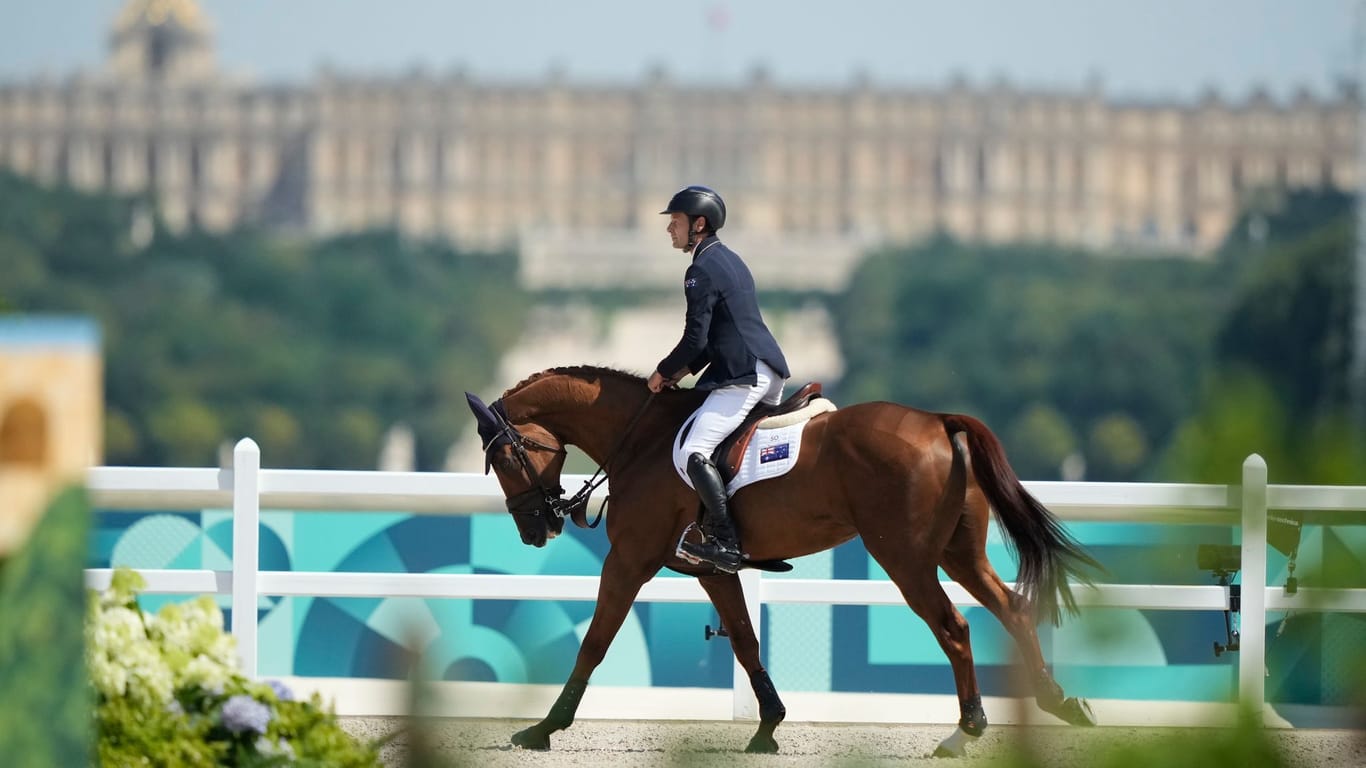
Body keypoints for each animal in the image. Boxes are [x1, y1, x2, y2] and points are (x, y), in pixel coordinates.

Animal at [464, 363, 1103, 754]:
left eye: (504, 458)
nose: (536, 530)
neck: (638, 441)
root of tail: (939, 422)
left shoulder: (629, 560)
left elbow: (594, 642)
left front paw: (545, 727)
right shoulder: (710, 569)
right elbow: (746, 641)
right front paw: (768, 727)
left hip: (905, 559)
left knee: (954, 628)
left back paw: (964, 731)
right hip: (959, 552)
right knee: (1012, 609)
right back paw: (1060, 703)